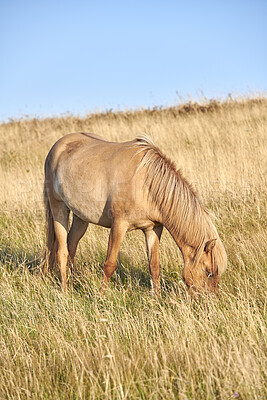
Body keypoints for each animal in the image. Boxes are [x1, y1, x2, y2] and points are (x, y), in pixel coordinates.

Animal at [40, 134, 227, 294]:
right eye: (209, 272)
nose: (211, 302)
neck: (146, 184)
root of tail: (57, 147)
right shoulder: (118, 226)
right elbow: (110, 264)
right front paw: (100, 297)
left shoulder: (153, 229)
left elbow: (154, 266)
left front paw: (157, 298)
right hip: (59, 209)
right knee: (62, 251)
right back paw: (65, 290)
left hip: (81, 217)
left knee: (72, 244)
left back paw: (75, 281)